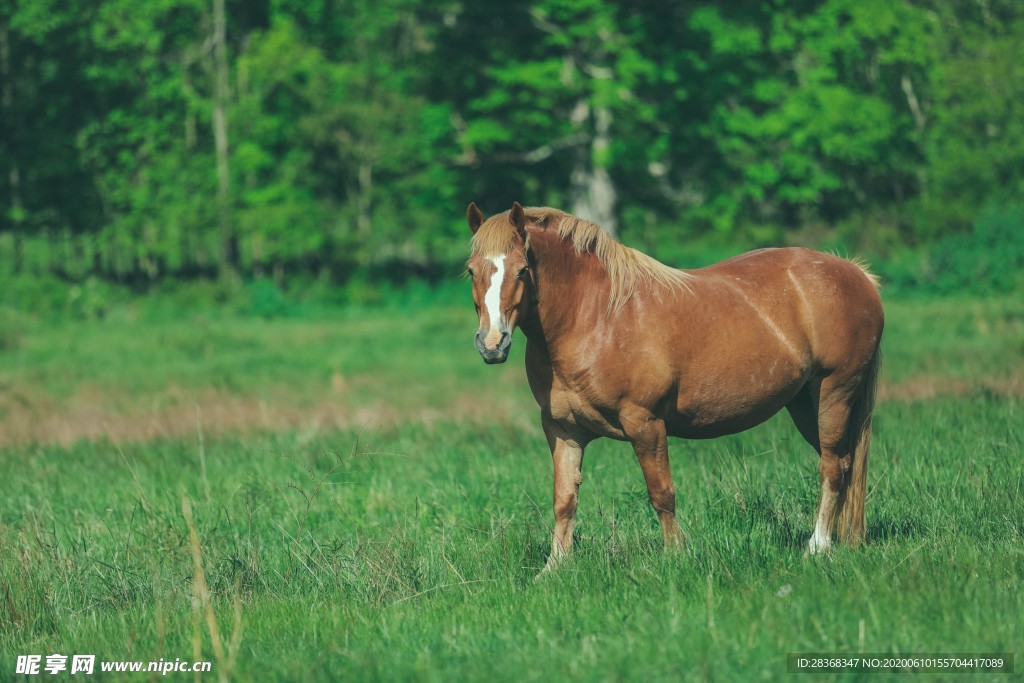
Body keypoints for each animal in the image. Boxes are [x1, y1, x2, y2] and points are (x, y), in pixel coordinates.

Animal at [464, 201, 884, 571]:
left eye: (522, 270)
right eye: (471, 271)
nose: (492, 344)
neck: (596, 317)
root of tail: (857, 273)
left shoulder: (645, 424)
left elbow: (662, 493)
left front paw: (675, 557)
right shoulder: (563, 430)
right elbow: (564, 499)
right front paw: (554, 568)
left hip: (834, 392)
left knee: (832, 467)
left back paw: (818, 546)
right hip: (803, 404)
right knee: (844, 463)